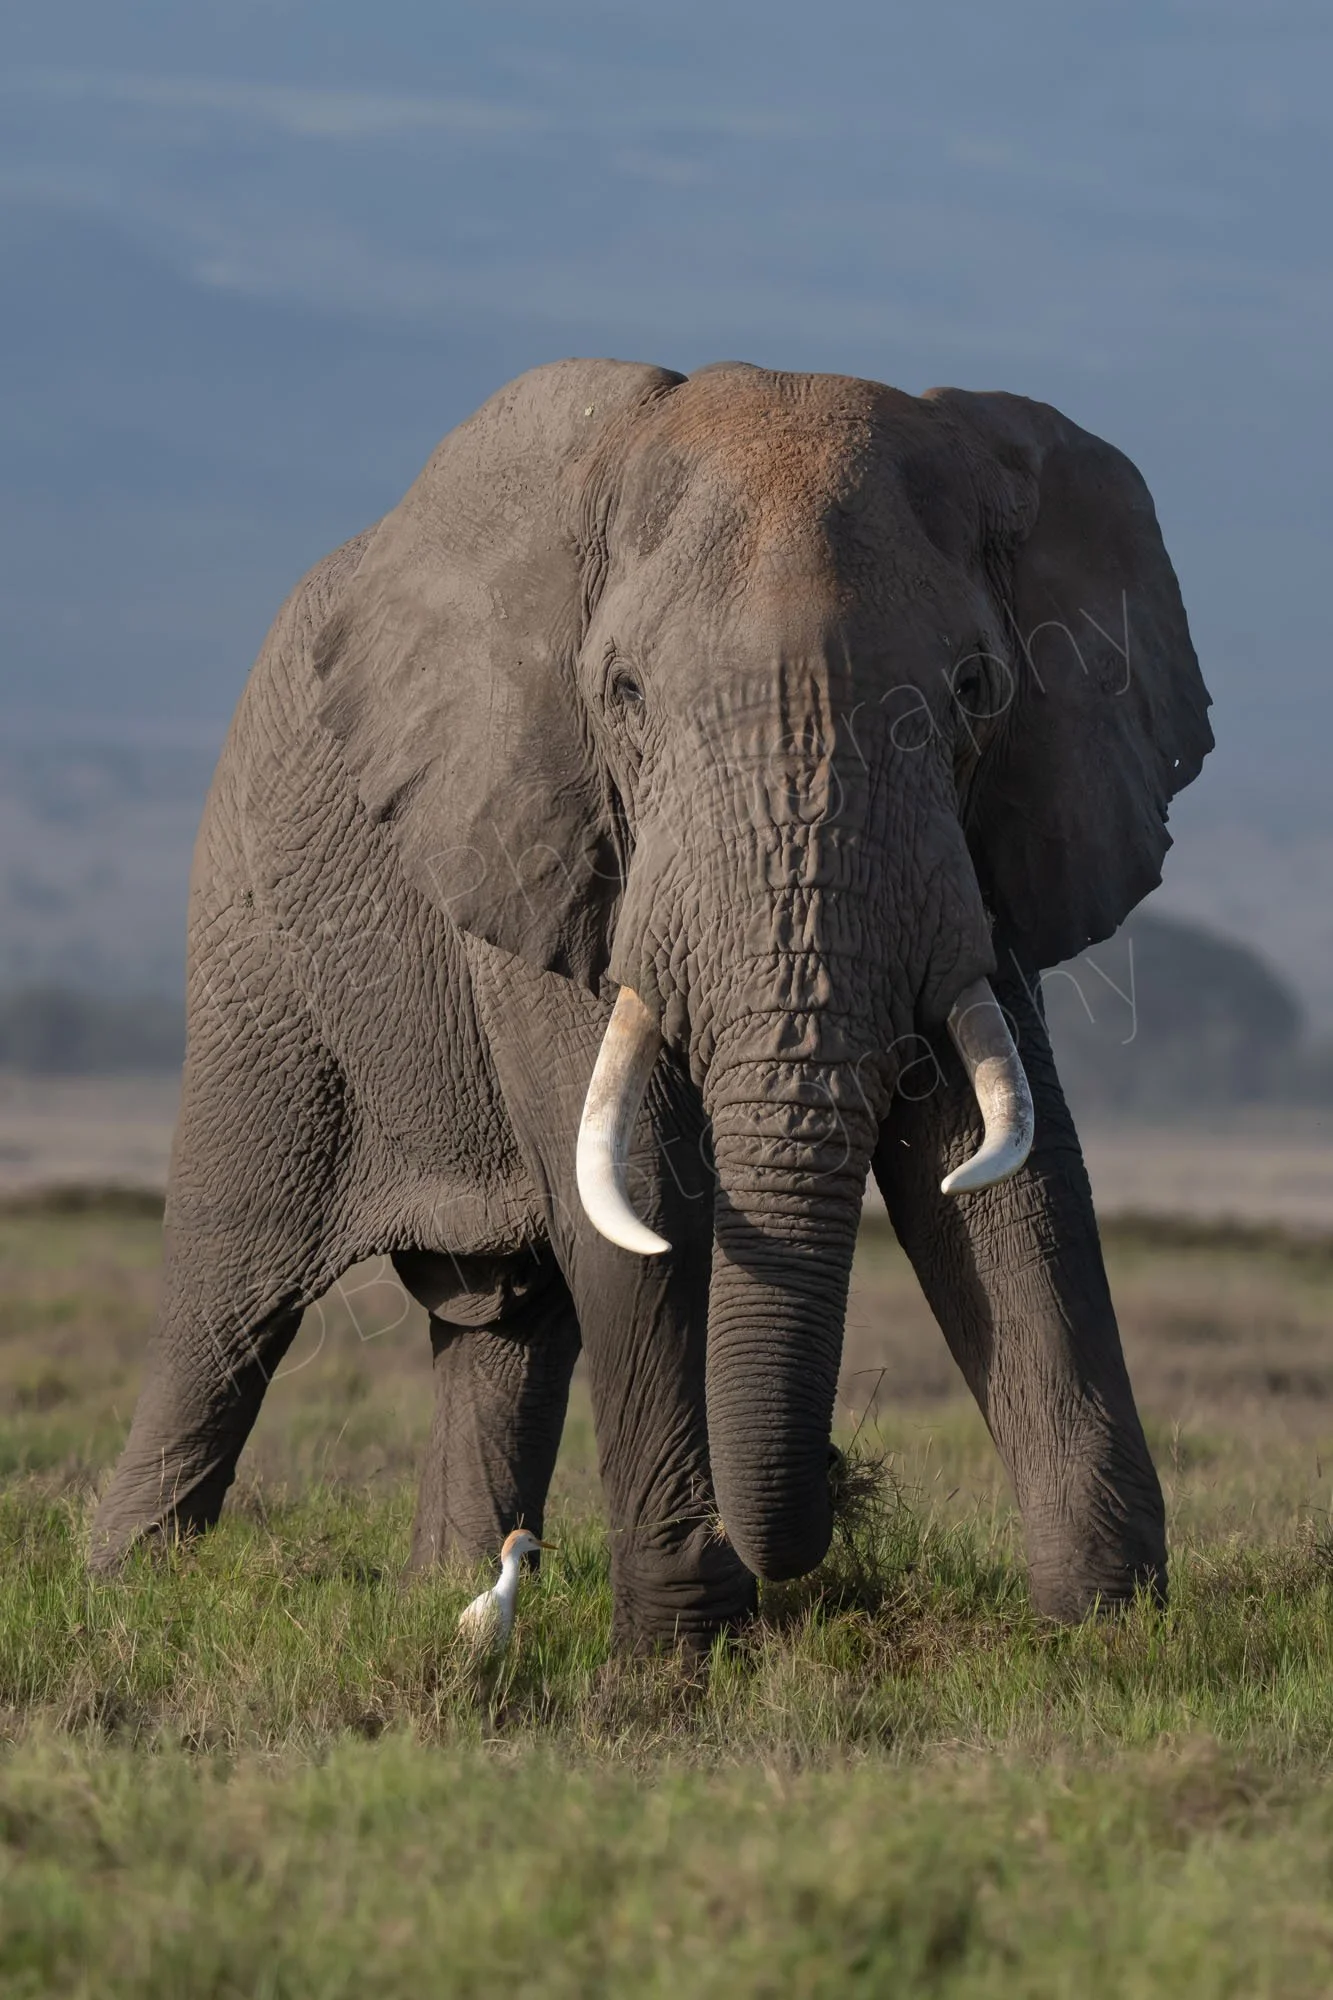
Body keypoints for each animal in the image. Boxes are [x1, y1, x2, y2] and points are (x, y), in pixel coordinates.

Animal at [90, 359, 1212, 1652]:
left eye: (975, 689)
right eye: (623, 692)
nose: (837, 1485)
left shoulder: (988, 849)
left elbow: (1011, 1184)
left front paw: (1107, 1628)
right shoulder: (538, 824)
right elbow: (646, 1188)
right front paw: (682, 1648)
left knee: (503, 1323)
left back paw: (447, 1588)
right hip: (258, 954)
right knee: (227, 1286)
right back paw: (128, 1583)